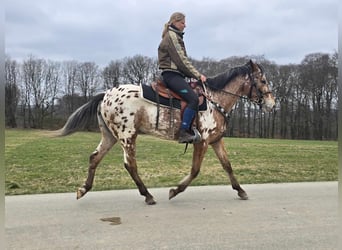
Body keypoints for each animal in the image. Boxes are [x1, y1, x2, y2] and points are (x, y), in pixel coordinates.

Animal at [55, 60, 276, 205]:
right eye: (264, 80)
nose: (272, 104)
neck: (215, 100)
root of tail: (106, 95)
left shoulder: (216, 141)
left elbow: (227, 166)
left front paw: (241, 190)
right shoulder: (202, 142)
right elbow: (195, 170)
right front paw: (175, 190)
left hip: (110, 136)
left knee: (95, 158)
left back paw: (83, 189)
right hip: (128, 136)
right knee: (130, 164)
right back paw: (147, 195)